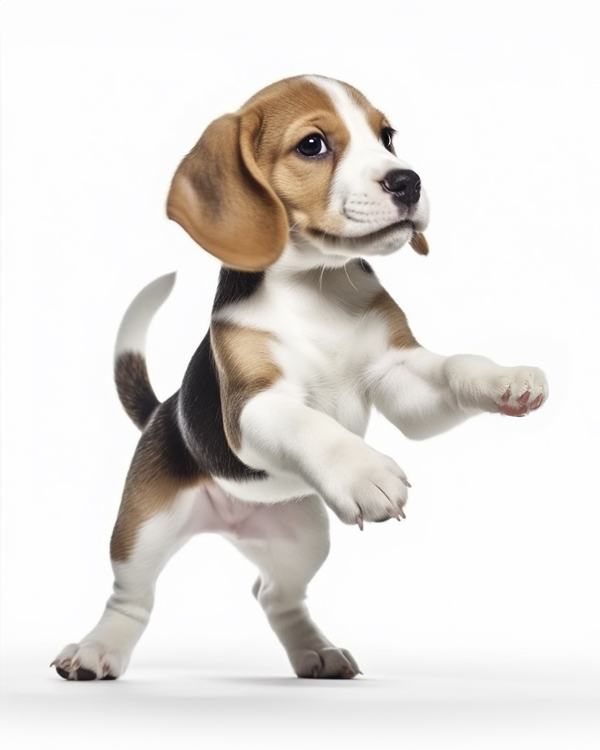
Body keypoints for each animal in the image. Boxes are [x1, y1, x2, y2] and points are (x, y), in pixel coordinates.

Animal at [52, 76, 548, 680]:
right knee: (132, 597)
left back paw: (317, 651)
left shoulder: (399, 373)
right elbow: (307, 424)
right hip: (144, 530)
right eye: (312, 145)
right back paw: (96, 651)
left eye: (386, 136)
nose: (408, 181)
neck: (317, 286)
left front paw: (507, 379)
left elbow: (453, 366)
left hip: (303, 539)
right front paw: (363, 473)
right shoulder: (254, 404)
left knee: (274, 595)